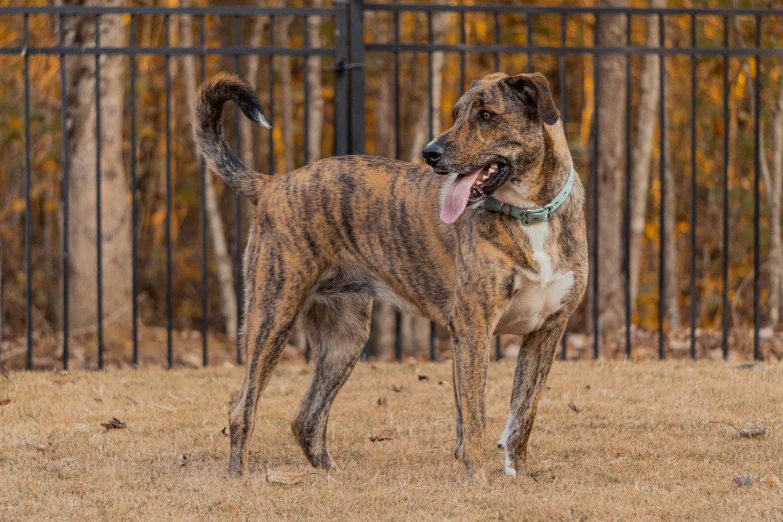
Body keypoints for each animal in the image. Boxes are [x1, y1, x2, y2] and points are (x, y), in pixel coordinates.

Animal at [193, 69, 588, 480]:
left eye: (486, 116)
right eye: (456, 114)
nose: (430, 154)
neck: (530, 214)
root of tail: (273, 183)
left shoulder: (546, 331)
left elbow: (523, 413)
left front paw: (518, 473)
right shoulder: (473, 326)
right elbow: (475, 415)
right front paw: (477, 476)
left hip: (344, 339)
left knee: (307, 418)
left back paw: (331, 474)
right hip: (272, 315)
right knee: (242, 408)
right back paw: (238, 475)